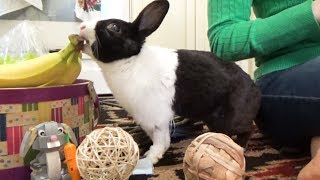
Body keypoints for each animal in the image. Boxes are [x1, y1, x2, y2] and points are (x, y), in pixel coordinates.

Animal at [79, 0, 262, 164]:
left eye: (113, 27)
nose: (81, 27)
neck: (130, 62)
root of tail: (255, 90)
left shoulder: (156, 118)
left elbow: (162, 141)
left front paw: (151, 158)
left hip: (227, 119)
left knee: (248, 129)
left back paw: (240, 146)